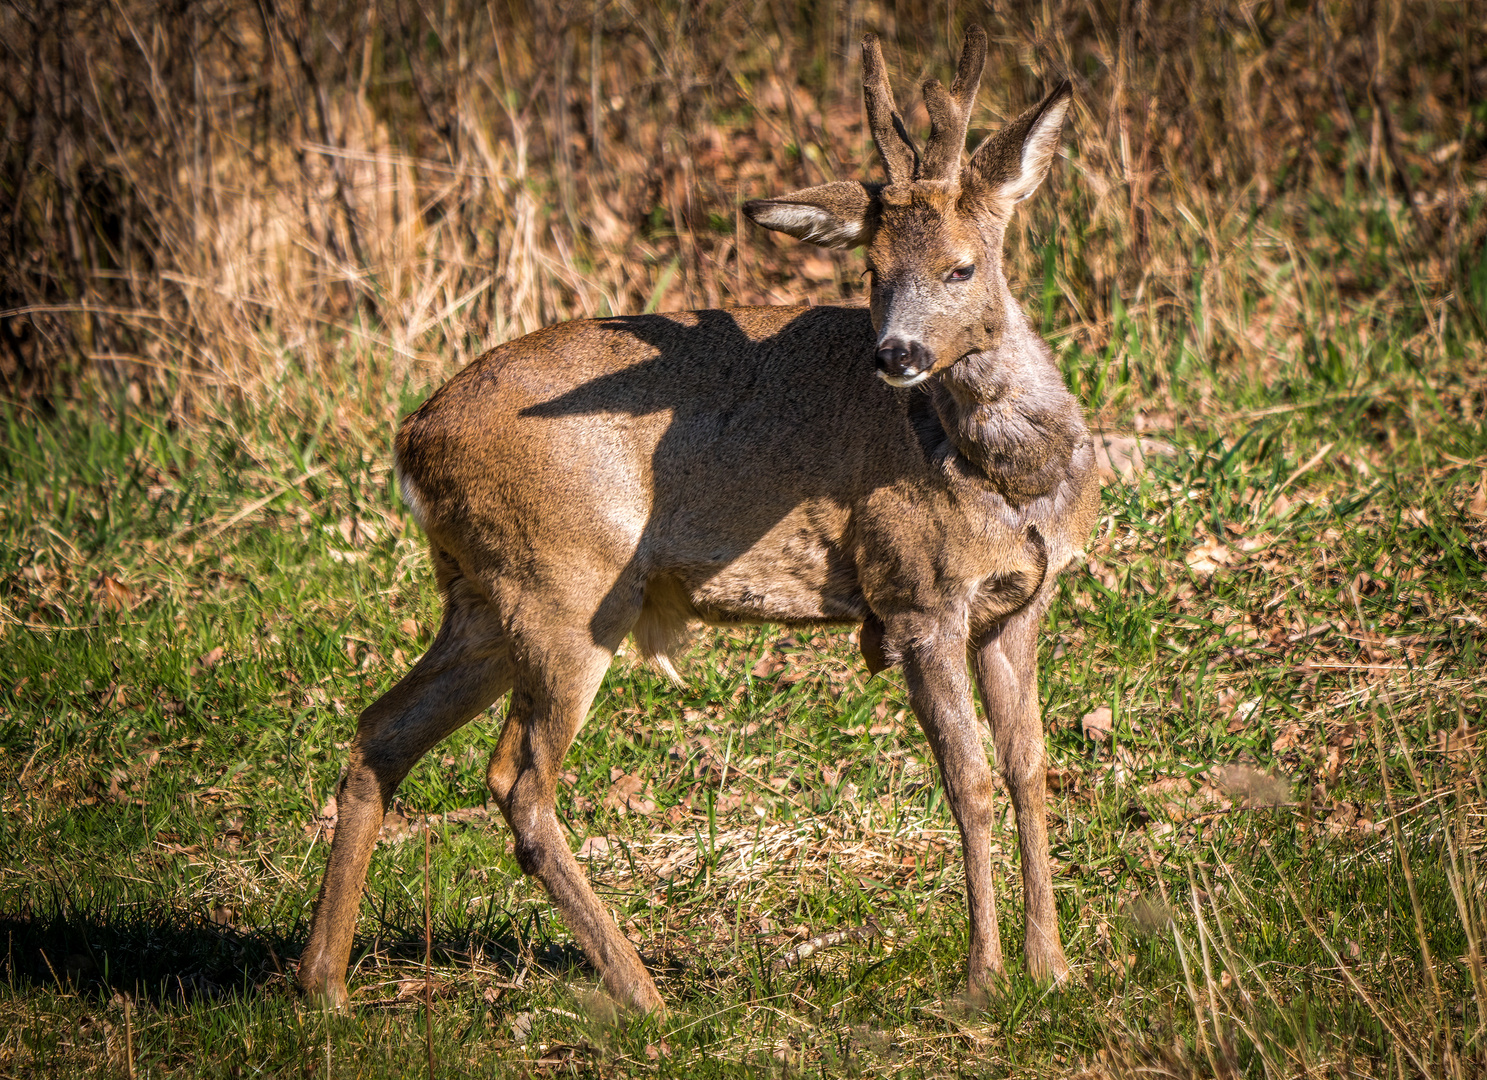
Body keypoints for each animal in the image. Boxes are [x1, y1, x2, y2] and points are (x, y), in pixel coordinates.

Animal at [295, 31, 1100, 1017]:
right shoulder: (915, 593)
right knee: (516, 780)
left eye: (962, 265)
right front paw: (985, 979)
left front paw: (1053, 968)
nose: (896, 354)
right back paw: (644, 996)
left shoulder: (1014, 605)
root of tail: (413, 436)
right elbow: (969, 779)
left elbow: (1028, 767)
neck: (1012, 476)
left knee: (381, 731)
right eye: (872, 274)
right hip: (562, 587)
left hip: (481, 598)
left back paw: (324, 985)